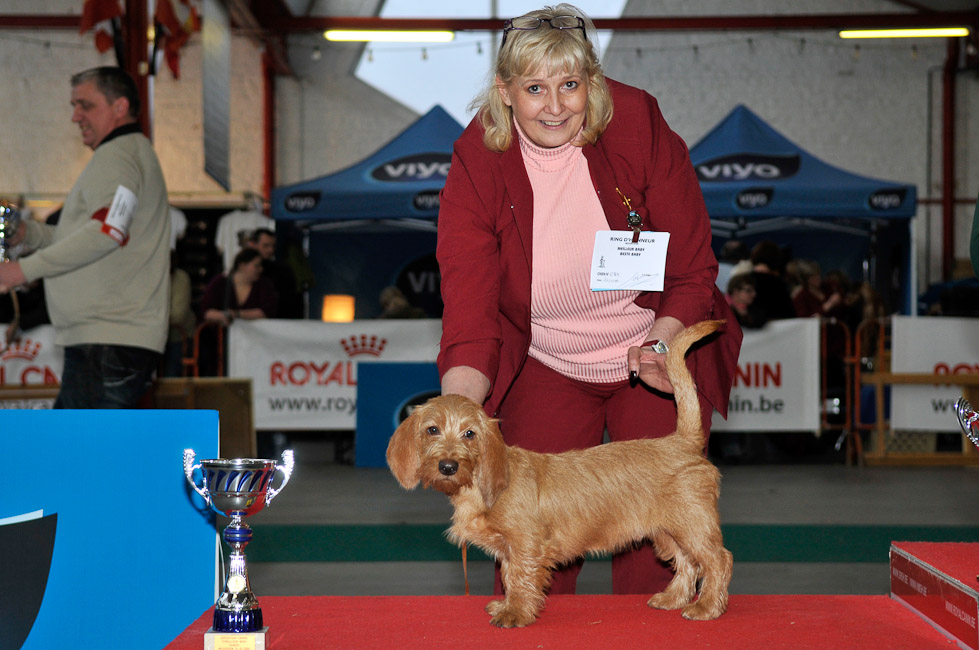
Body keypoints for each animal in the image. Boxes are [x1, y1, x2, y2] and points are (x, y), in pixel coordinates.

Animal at [386, 318, 732, 624]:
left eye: (470, 434)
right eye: (432, 430)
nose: (447, 466)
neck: (480, 487)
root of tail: (682, 441)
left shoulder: (526, 544)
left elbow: (522, 578)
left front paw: (515, 614)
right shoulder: (509, 550)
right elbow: (510, 576)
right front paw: (507, 605)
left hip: (693, 525)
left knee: (717, 560)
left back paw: (707, 607)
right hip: (667, 531)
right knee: (687, 562)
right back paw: (674, 598)